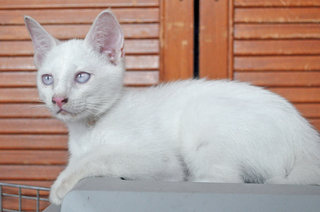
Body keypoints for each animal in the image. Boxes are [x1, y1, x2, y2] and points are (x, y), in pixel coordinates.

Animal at [24, 9, 320, 205]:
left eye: (82, 77)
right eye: (47, 79)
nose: (58, 99)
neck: (88, 129)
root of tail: (306, 139)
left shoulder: (159, 159)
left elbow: (101, 157)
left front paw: (61, 185)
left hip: (201, 115)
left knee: (226, 178)